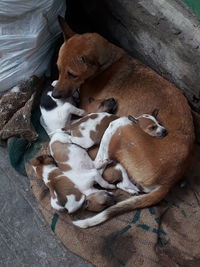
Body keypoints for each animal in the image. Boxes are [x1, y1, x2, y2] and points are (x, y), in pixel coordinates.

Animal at [51, 16, 194, 228]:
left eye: (72, 74)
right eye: (58, 69)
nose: (54, 95)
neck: (107, 64)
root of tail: (171, 180)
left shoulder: (88, 106)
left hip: (121, 125)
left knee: (99, 163)